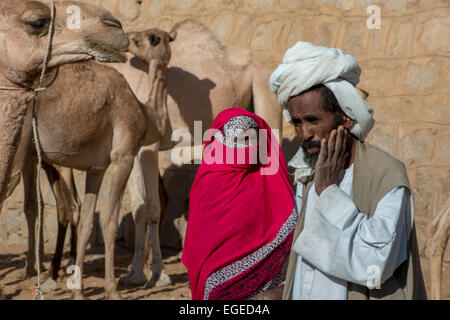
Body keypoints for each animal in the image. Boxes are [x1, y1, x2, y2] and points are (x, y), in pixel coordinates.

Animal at [110, 18, 282, 286]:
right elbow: (138, 206)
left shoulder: (149, 147)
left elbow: (153, 207)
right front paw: (135, 274)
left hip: (267, 102)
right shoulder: (133, 148)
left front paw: (159, 276)